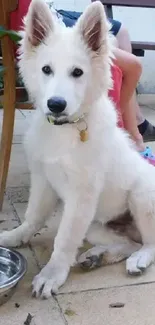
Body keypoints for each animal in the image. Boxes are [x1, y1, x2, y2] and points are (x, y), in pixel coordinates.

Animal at [0, 0, 155, 298]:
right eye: (46, 69)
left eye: (77, 72)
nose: (56, 104)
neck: (66, 130)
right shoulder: (43, 178)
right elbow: (33, 215)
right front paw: (16, 236)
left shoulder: (81, 195)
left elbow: (64, 238)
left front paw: (52, 274)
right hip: (95, 224)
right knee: (128, 242)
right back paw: (98, 256)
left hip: (142, 197)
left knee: (150, 242)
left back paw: (139, 259)